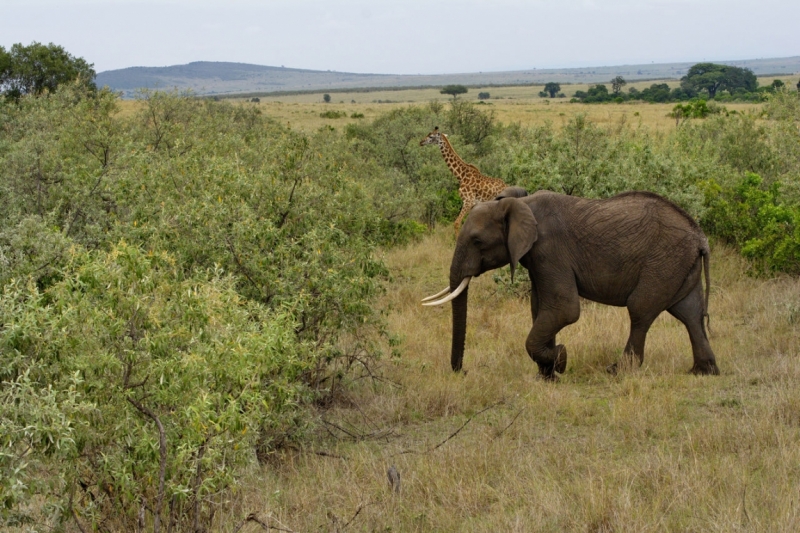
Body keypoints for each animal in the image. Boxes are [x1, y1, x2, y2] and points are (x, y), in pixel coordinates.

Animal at [422, 189, 720, 376]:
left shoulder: (549, 250)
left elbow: (564, 309)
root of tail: (701, 238)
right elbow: (540, 308)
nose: (463, 371)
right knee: (690, 313)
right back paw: (703, 372)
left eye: (477, 241)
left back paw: (617, 371)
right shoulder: (537, 258)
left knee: (640, 310)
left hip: (663, 262)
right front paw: (547, 373)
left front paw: (560, 360)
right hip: (679, 265)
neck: (521, 203)